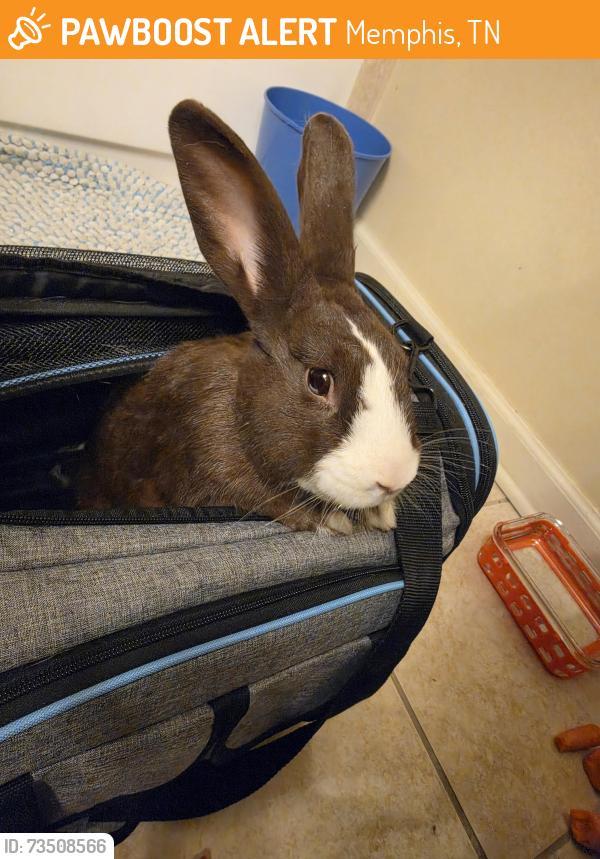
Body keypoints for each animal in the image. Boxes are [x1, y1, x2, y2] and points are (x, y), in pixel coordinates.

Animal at [77, 100, 421, 534]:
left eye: (404, 367)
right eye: (319, 380)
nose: (394, 478)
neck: (240, 407)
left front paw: (381, 513)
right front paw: (337, 520)